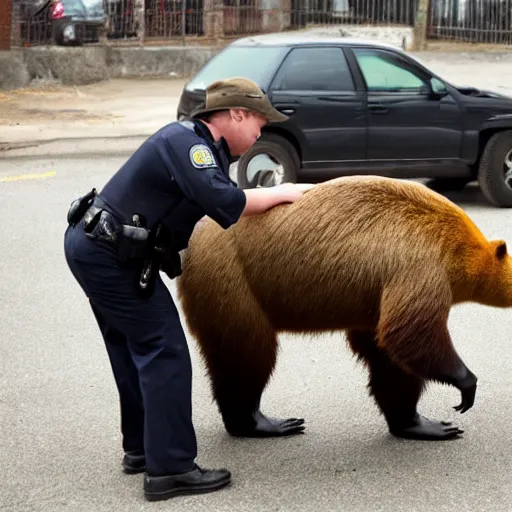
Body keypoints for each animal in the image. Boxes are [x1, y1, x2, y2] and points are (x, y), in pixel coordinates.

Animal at [176, 175, 512, 440]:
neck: (455, 246)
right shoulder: (417, 265)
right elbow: (411, 332)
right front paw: (465, 385)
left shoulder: (374, 296)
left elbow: (386, 356)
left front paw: (421, 423)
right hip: (232, 279)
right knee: (247, 351)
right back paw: (263, 422)